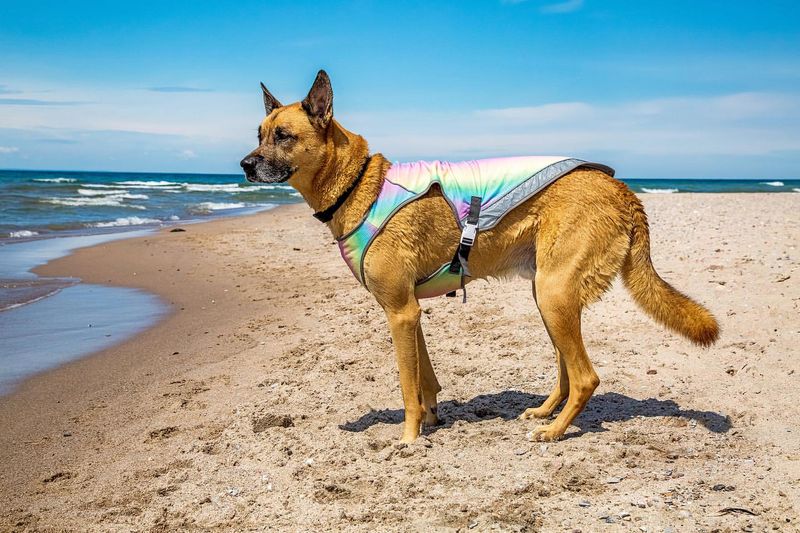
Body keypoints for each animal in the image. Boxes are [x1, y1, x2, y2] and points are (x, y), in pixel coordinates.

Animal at [239, 71, 720, 444]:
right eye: (259, 135)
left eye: (283, 136)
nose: (244, 165)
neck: (359, 184)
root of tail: (623, 191)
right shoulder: (408, 312)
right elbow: (425, 379)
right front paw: (432, 419)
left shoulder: (400, 312)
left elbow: (407, 385)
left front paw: (409, 439)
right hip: (548, 297)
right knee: (566, 370)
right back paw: (545, 412)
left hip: (555, 294)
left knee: (586, 376)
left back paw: (554, 432)